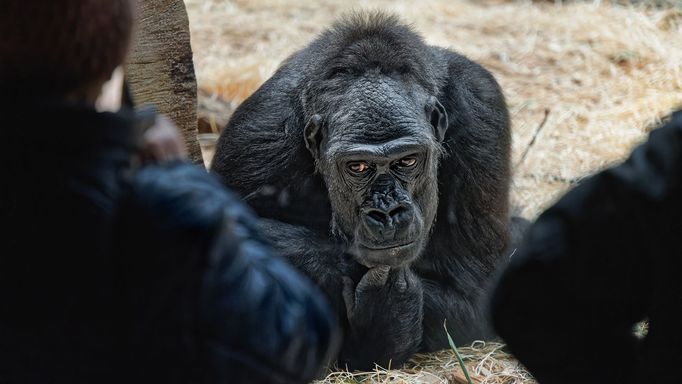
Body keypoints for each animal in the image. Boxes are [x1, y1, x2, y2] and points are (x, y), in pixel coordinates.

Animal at [212, 12, 520, 370]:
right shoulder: (256, 138)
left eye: (407, 161)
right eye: (358, 167)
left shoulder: (481, 110)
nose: (387, 211)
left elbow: (472, 289)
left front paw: (384, 321)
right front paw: (383, 319)